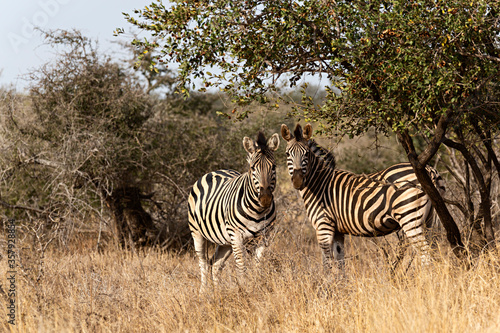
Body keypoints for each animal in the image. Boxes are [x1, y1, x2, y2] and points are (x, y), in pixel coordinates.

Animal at [188, 130, 282, 290]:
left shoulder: (265, 236)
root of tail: (214, 171)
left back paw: (217, 293)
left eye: (274, 167)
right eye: (252, 168)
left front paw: (256, 287)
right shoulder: (237, 235)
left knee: (216, 264)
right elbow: (241, 266)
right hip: (197, 233)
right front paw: (244, 290)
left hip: (225, 240)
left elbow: (258, 265)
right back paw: (204, 292)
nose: (265, 199)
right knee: (204, 264)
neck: (258, 211)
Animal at [282, 123, 446, 272]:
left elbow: (327, 264)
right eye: (287, 154)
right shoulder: (337, 231)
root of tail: (429, 169)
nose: (297, 181)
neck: (319, 184)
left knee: (426, 257)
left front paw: (327, 286)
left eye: (306, 154)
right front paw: (342, 286)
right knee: (435, 253)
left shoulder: (323, 226)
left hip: (409, 217)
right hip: (429, 219)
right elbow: (340, 264)